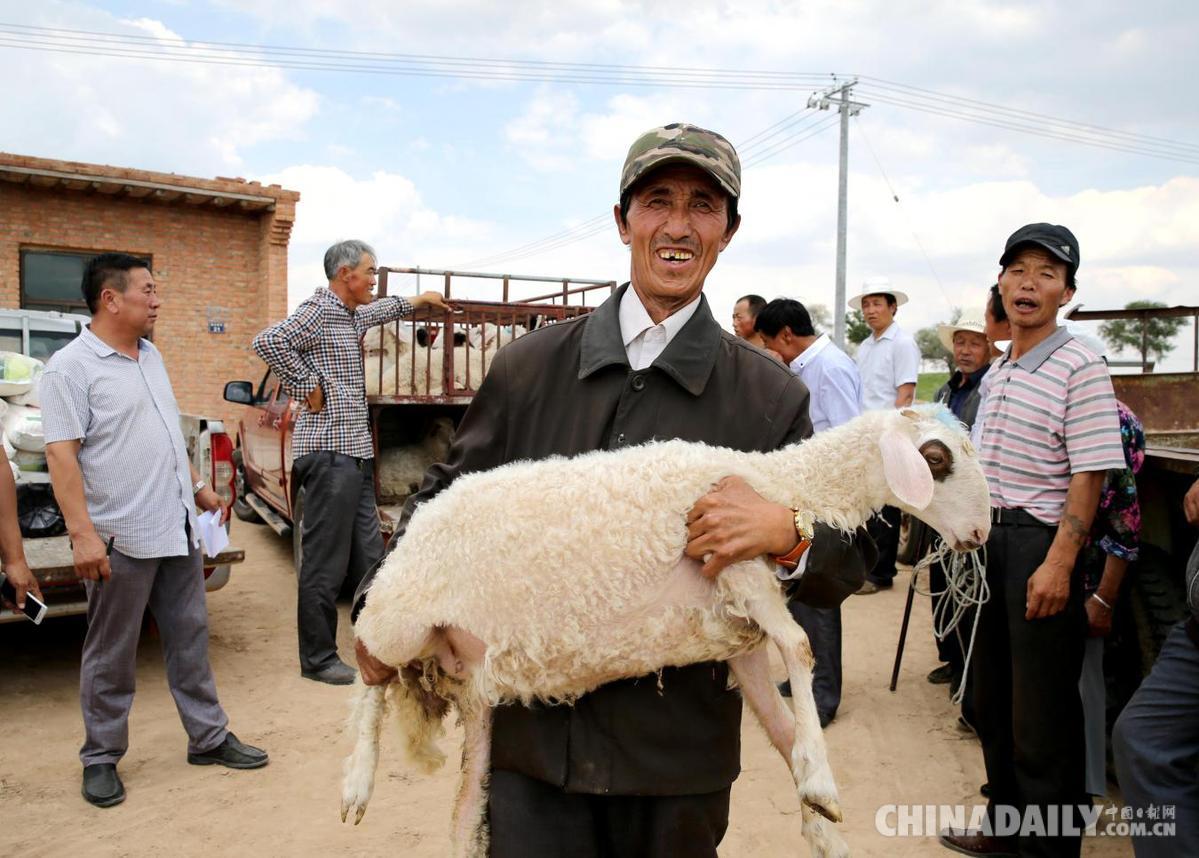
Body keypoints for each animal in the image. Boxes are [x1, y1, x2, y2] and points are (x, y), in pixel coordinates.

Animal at [342, 405, 987, 853]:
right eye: (937, 459)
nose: (981, 534)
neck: (774, 484)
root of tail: (419, 519)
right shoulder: (740, 573)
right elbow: (802, 649)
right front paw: (823, 785)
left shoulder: (743, 631)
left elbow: (781, 724)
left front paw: (820, 815)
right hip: (397, 622)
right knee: (368, 679)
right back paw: (356, 785)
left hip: (479, 688)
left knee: (465, 807)